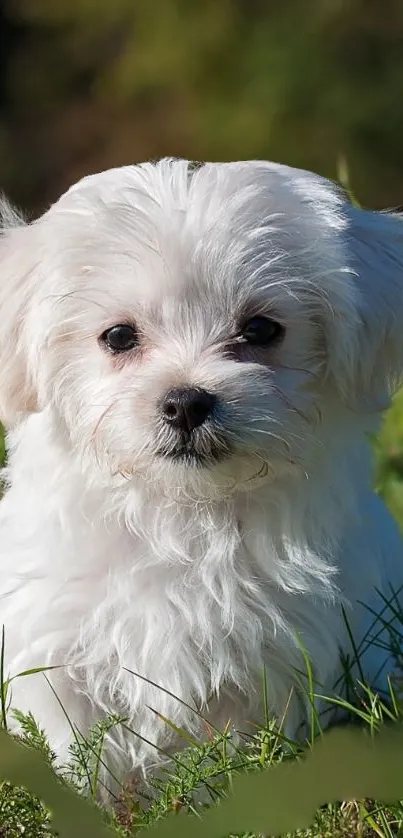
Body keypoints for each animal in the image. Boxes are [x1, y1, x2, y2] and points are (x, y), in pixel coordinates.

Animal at [0, 159, 403, 796]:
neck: (184, 516)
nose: (186, 402)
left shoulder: (277, 658)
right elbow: (76, 748)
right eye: (119, 336)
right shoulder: (55, 645)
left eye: (261, 330)